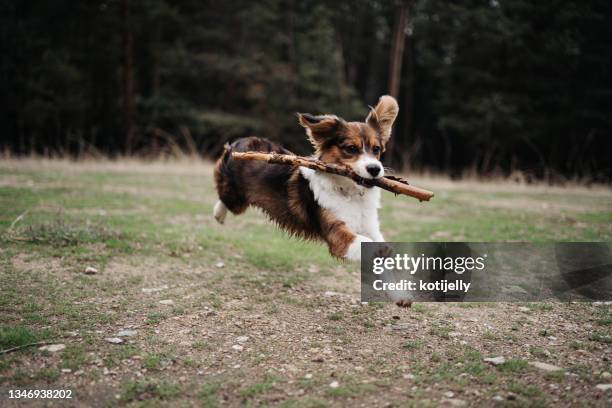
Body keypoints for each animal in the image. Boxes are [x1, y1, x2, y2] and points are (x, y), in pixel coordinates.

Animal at [213, 95, 400, 264]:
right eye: (351, 148)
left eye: (377, 149)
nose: (375, 169)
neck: (350, 193)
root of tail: (240, 141)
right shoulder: (337, 234)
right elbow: (364, 242)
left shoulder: (370, 226)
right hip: (236, 199)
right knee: (224, 198)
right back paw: (218, 214)